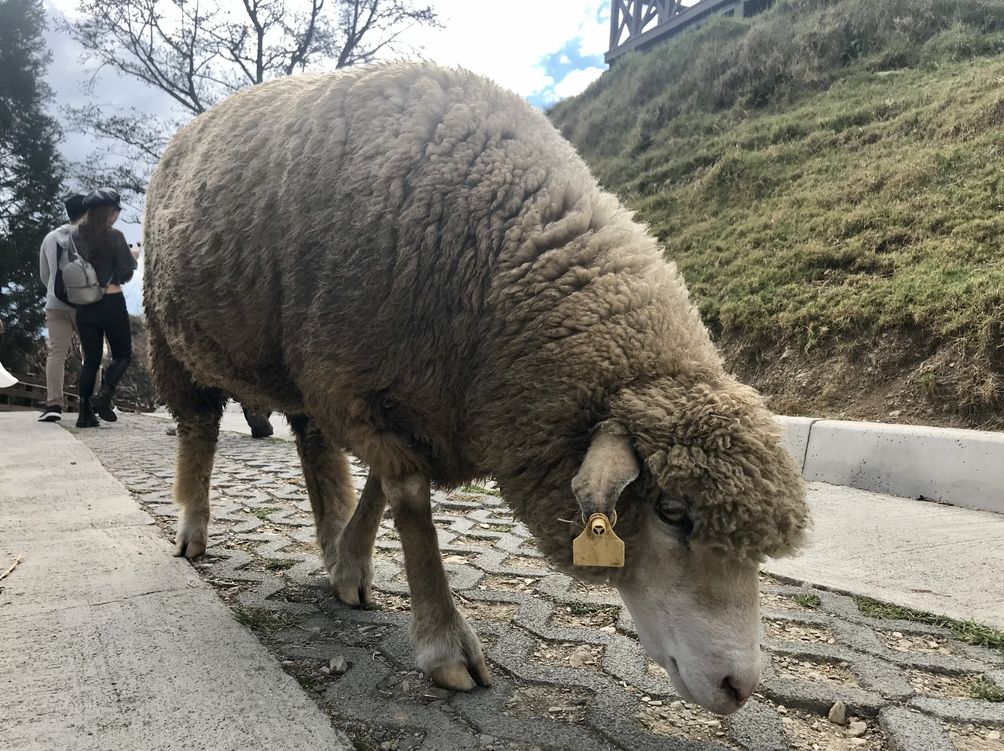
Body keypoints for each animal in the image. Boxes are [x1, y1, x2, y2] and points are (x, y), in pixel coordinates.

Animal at [145, 61, 811, 714]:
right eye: (673, 512)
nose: (741, 687)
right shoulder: (354, 386)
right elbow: (410, 502)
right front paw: (444, 643)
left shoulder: (408, 399)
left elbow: (380, 485)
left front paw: (348, 565)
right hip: (171, 338)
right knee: (199, 430)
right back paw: (193, 530)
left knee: (314, 449)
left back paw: (328, 537)